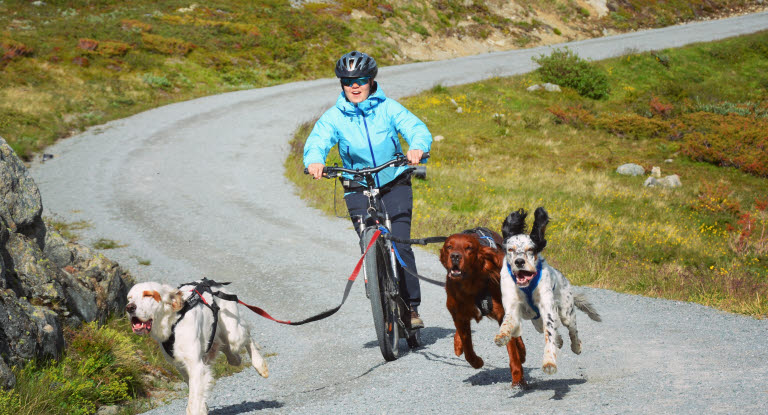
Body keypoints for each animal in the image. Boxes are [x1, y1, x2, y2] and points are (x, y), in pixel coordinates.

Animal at [124, 280, 268, 415]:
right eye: (129, 298)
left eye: (148, 295)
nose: (129, 307)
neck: (173, 323)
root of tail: (213, 283)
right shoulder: (181, 366)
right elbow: (195, 392)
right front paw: (203, 408)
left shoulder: (195, 365)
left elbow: (193, 404)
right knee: (230, 352)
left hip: (234, 335)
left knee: (247, 334)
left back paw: (259, 364)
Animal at [438, 228, 528, 386]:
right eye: (449, 246)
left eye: (469, 248)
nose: (455, 256)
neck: (470, 285)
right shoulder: (459, 316)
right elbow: (467, 347)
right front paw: (476, 361)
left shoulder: (502, 314)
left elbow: (512, 349)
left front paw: (518, 376)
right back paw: (457, 344)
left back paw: (522, 352)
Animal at [492, 210, 600, 376]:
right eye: (510, 249)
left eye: (531, 249)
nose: (519, 262)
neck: (527, 286)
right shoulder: (512, 305)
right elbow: (507, 322)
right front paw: (502, 336)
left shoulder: (548, 309)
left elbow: (550, 336)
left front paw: (549, 362)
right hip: (536, 321)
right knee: (552, 332)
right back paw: (559, 340)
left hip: (566, 312)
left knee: (572, 331)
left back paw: (576, 346)